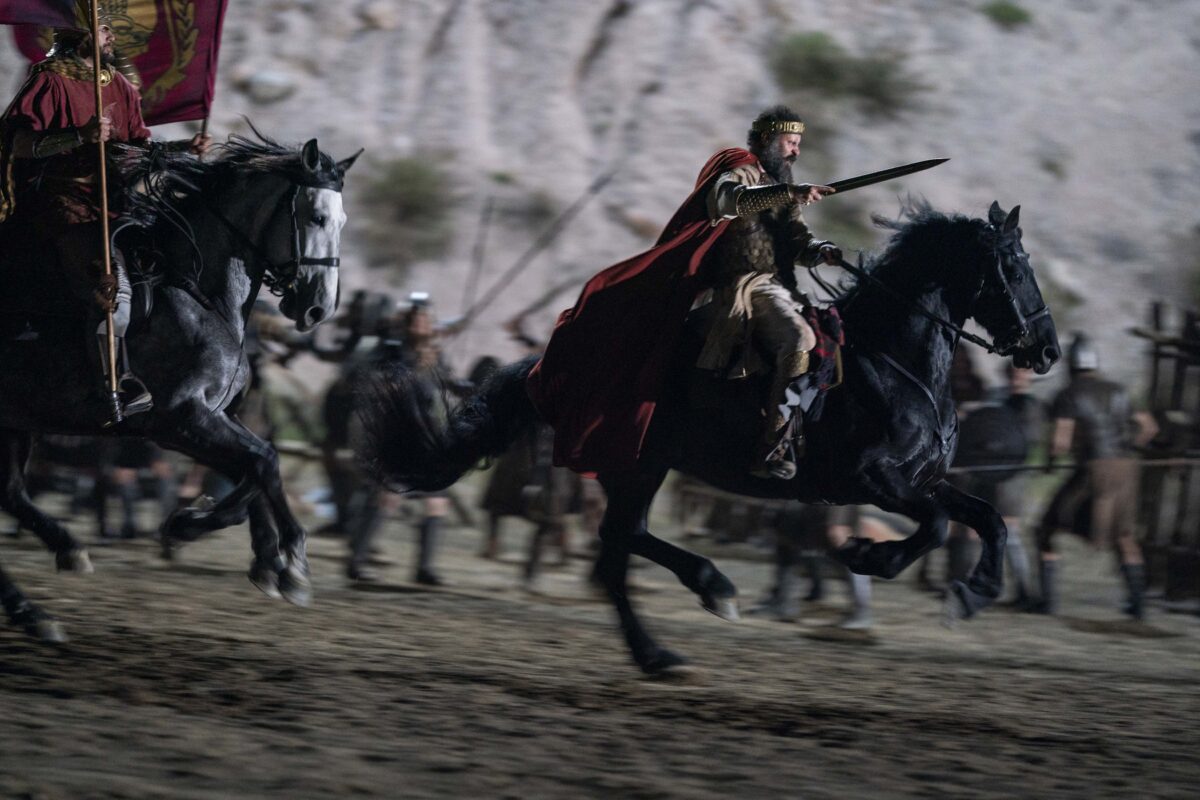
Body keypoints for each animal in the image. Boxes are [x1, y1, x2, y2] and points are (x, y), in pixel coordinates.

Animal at [0, 132, 359, 641]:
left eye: (342, 220)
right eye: (317, 217)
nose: (318, 309)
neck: (198, 292)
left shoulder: (202, 422)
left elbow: (256, 467)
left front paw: (261, 555)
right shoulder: (180, 419)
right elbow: (264, 463)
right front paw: (284, 560)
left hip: (15, 421)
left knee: (11, 492)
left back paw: (46, 587)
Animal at [358, 201, 1060, 674]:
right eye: (1013, 265)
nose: (1047, 350)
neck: (893, 360)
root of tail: (546, 370)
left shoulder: (925, 481)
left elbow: (989, 519)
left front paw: (972, 593)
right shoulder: (874, 481)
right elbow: (937, 528)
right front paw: (870, 555)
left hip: (640, 469)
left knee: (624, 543)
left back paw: (678, 626)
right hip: (638, 466)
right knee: (618, 550)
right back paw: (687, 617)